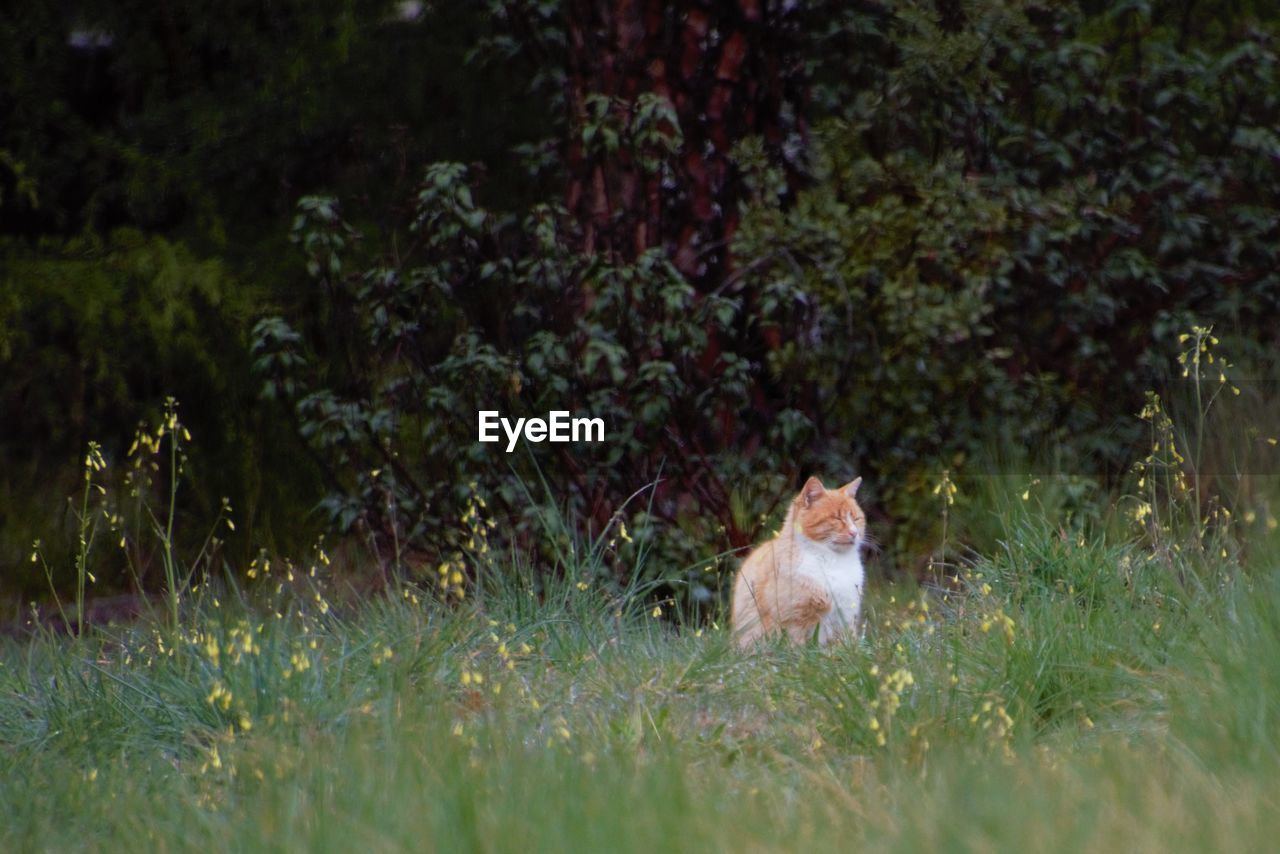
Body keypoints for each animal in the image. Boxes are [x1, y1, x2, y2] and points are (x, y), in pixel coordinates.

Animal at [732, 473, 870, 647]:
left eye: (856, 519)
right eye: (837, 518)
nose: (854, 533)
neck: (832, 561)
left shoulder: (845, 618)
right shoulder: (795, 621)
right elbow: (798, 647)